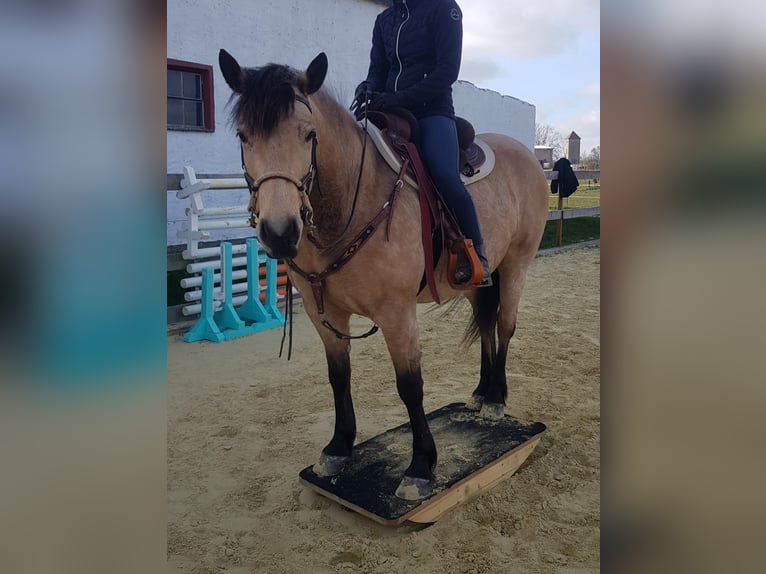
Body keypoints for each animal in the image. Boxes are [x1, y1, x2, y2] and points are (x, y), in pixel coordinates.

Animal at [218, 49, 549, 500]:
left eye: (309, 135)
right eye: (243, 136)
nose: (280, 231)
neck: (351, 206)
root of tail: (526, 154)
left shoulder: (397, 313)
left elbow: (410, 385)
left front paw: (421, 466)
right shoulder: (325, 315)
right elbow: (338, 376)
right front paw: (339, 447)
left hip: (516, 264)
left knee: (506, 325)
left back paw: (497, 398)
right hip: (476, 278)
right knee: (485, 321)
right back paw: (482, 393)